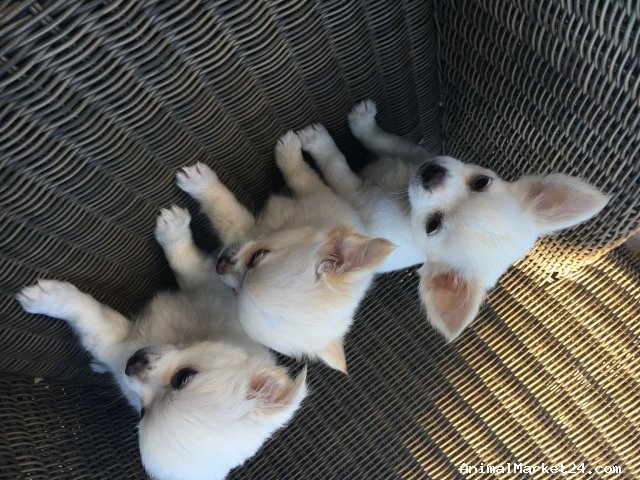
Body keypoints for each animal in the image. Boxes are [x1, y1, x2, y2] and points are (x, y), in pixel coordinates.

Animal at [17, 206, 307, 480]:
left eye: (142, 413)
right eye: (184, 377)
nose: (132, 365)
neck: (182, 338)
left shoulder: (119, 344)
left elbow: (90, 315)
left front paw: (49, 297)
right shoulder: (209, 289)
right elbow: (186, 265)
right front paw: (174, 230)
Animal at [176, 133, 393, 373]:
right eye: (259, 255)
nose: (220, 265)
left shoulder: (246, 230)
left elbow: (227, 213)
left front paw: (200, 182)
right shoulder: (319, 198)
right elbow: (303, 177)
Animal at [298, 99, 609, 340]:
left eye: (432, 226)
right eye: (482, 182)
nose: (432, 174)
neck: (402, 200)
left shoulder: (359, 200)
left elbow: (337, 168)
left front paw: (318, 142)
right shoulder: (417, 155)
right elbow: (384, 140)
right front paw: (364, 122)